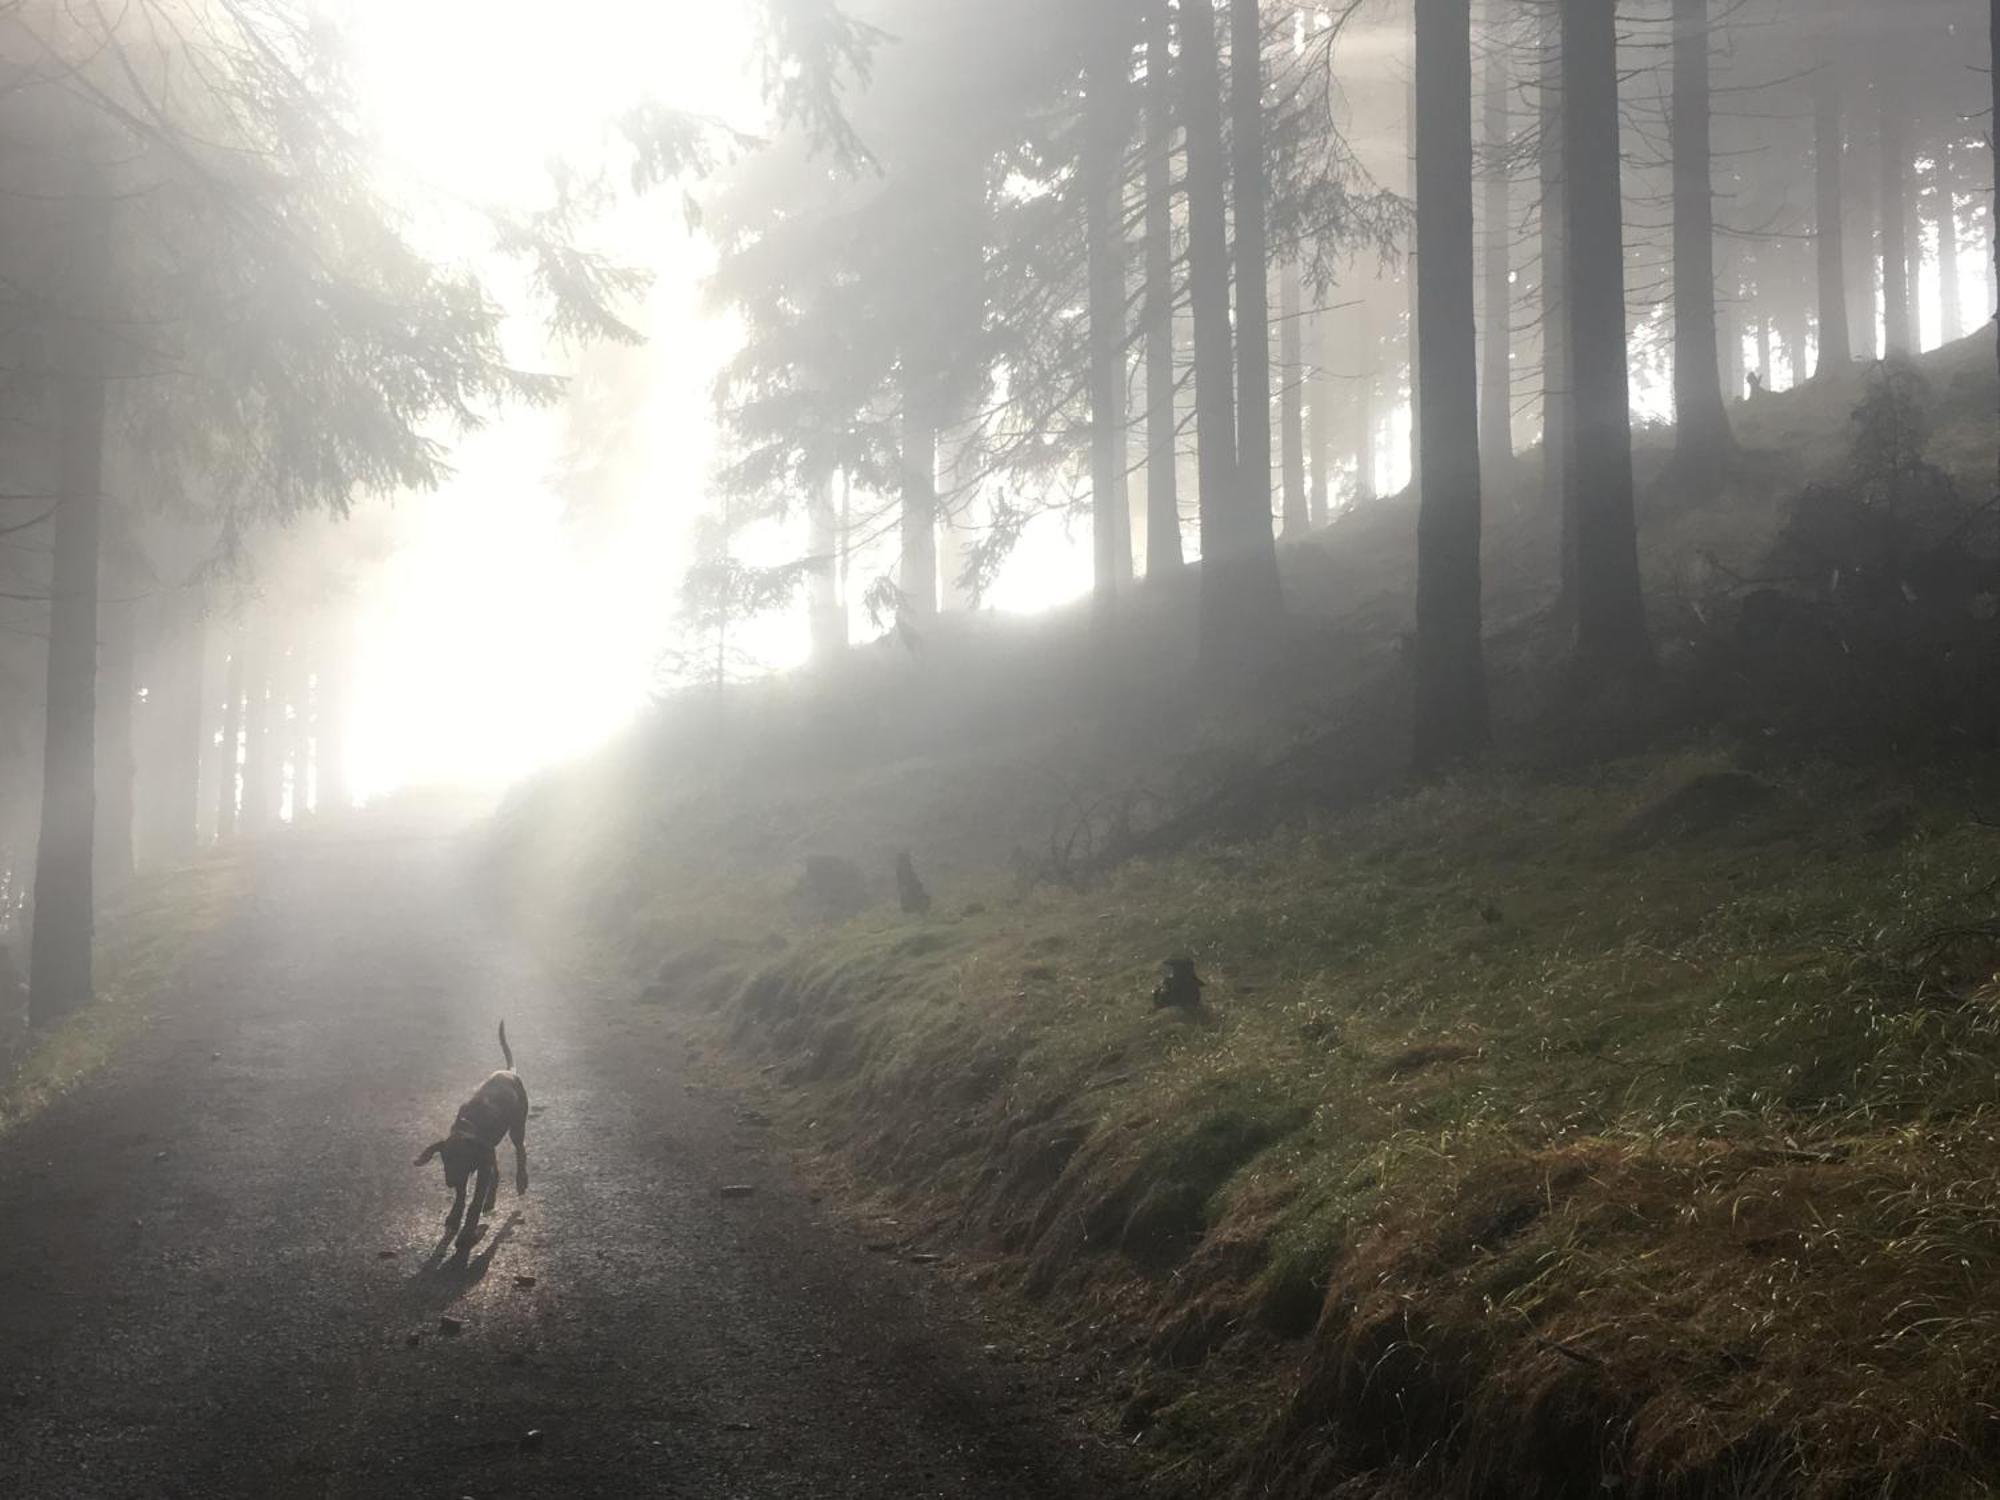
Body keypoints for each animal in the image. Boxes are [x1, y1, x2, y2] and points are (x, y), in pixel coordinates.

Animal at [416, 1024, 528, 1256]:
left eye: (462, 1159)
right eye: (445, 1160)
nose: (449, 1183)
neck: (466, 1128)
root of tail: (509, 1072)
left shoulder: (477, 1167)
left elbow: (474, 1201)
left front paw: (467, 1233)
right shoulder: (466, 1169)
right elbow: (462, 1196)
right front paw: (455, 1216)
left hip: (517, 1126)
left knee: (521, 1150)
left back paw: (521, 1180)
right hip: (492, 1149)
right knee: (497, 1170)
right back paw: (491, 1200)